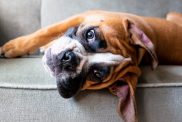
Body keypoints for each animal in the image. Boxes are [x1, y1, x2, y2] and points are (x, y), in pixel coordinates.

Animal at [0, 10, 182, 122]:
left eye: (96, 74)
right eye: (90, 34)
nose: (69, 58)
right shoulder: (80, 16)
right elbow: (44, 32)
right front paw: (14, 47)